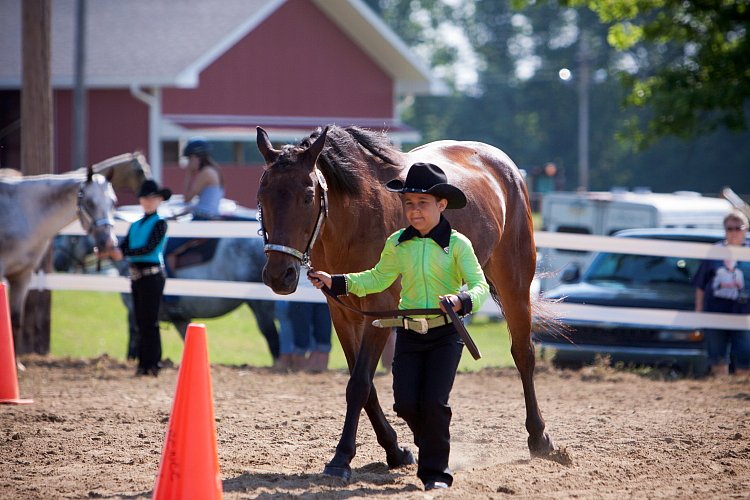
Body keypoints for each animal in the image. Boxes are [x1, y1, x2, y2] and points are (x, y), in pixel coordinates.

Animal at [258, 125, 560, 480]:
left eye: (307, 196)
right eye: (262, 196)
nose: (279, 275)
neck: (355, 218)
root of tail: (502, 164)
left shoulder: (377, 309)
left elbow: (359, 384)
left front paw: (341, 458)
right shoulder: (342, 312)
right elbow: (366, 385)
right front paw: (397, 450)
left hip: (514, 282)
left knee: (523, 354)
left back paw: (538, 437)